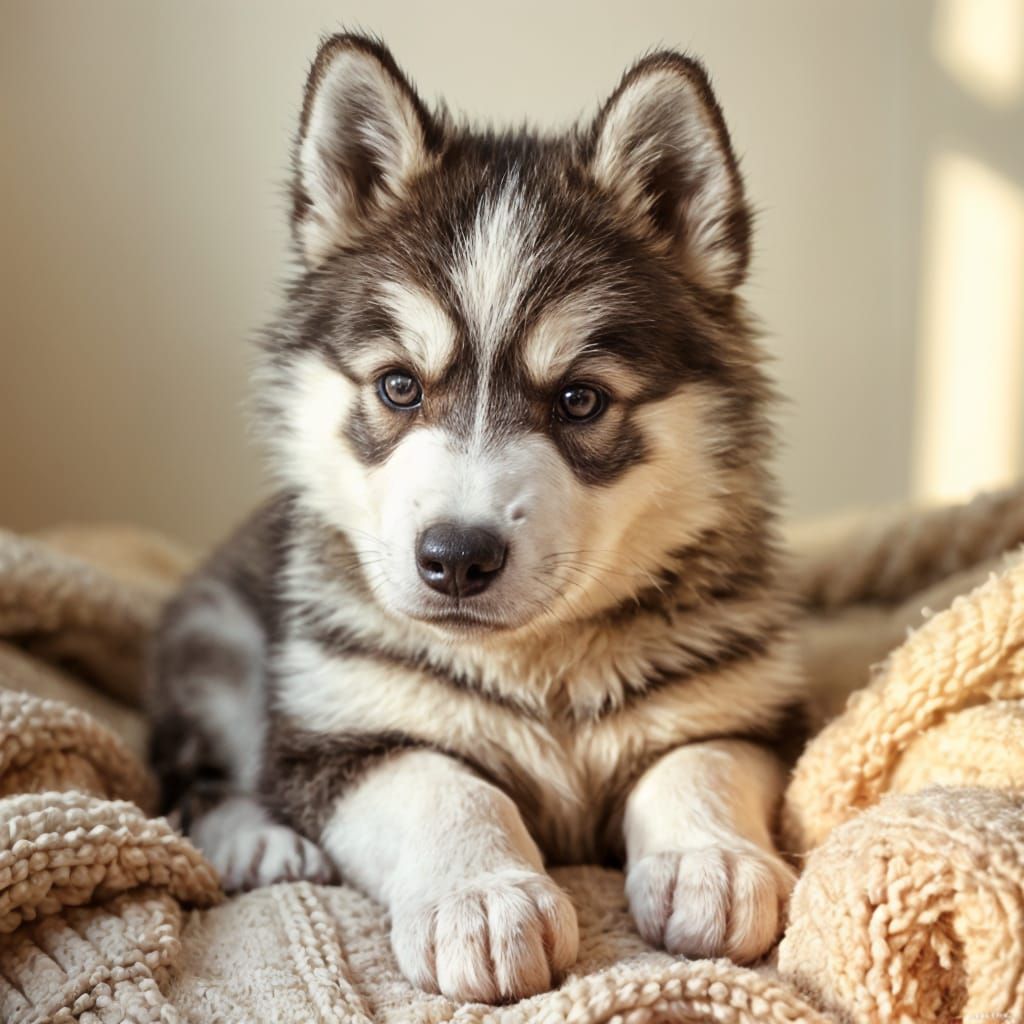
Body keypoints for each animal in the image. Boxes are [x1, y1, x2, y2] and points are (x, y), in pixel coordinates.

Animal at [148, 33, 804, 1003]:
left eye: (579, 399)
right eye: (398, 387)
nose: (455, 557)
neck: (540, 668)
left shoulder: (750, 707)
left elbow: (699, 762)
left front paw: (709, 861)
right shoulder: (343, 730)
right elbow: (443, 784)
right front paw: (484, 896)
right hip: (218, 647)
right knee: (192, 779)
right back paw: (256, 840)